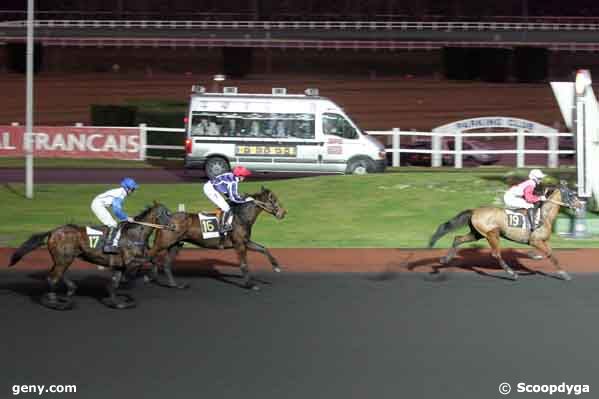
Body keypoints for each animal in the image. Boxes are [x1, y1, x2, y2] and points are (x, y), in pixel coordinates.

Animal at [7, 203, 171, 310]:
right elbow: (151, 262)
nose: (173, 226)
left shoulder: (120, 265)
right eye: (166, 213)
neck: (134, 233)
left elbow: (114, 283)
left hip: (64, 258)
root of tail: (53, 231)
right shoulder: (130, 260)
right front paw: (147, 277)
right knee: (52, 277)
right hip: (64, 258)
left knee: (57, 274)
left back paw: (70, 289)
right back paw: (56, 303)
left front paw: (117, 301)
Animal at [428, 184, 584, 282]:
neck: (544, 216)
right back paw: (512, 273)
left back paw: (445, 260)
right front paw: (564, 274)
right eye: (571, 194)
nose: (581, 205)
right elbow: (551, 255)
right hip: (492, 234)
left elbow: (552, 255)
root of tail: (475, 210)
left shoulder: (543, 241)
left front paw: (536, 257)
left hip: (477, 234)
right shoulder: (535, 241)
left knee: (458, 238)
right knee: (496, 253)